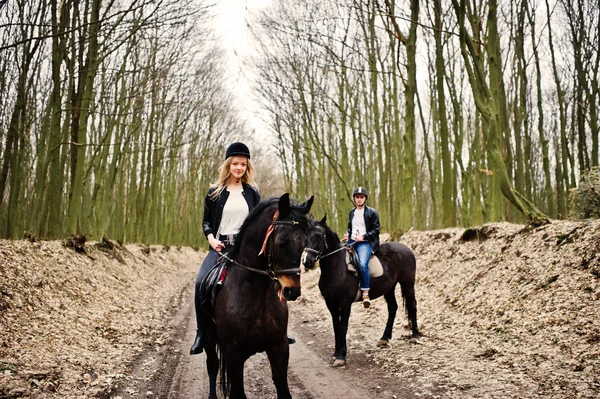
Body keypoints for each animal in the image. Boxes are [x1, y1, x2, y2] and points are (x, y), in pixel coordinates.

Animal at [202, 193, 314, 396]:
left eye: (305, 242)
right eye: (281, 242)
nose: (292, 290)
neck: (257, 295)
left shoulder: (279, 348)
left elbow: (283, 389)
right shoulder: (233, 354)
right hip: (208, 340)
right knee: (212, 366)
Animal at [302, 217, 420, 368]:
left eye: (319, 236)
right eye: (307, 236)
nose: (307, 261)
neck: (337, 268)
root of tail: (406, 249)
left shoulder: (345, 303)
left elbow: (343, 327)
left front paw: (341, 356)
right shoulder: (331, 303)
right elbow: (336, 327)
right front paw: (336, 353)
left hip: (408, 284)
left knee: (412, 306)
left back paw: (415, 336)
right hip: (389, 288)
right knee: (393, 308)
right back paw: (384, 338)